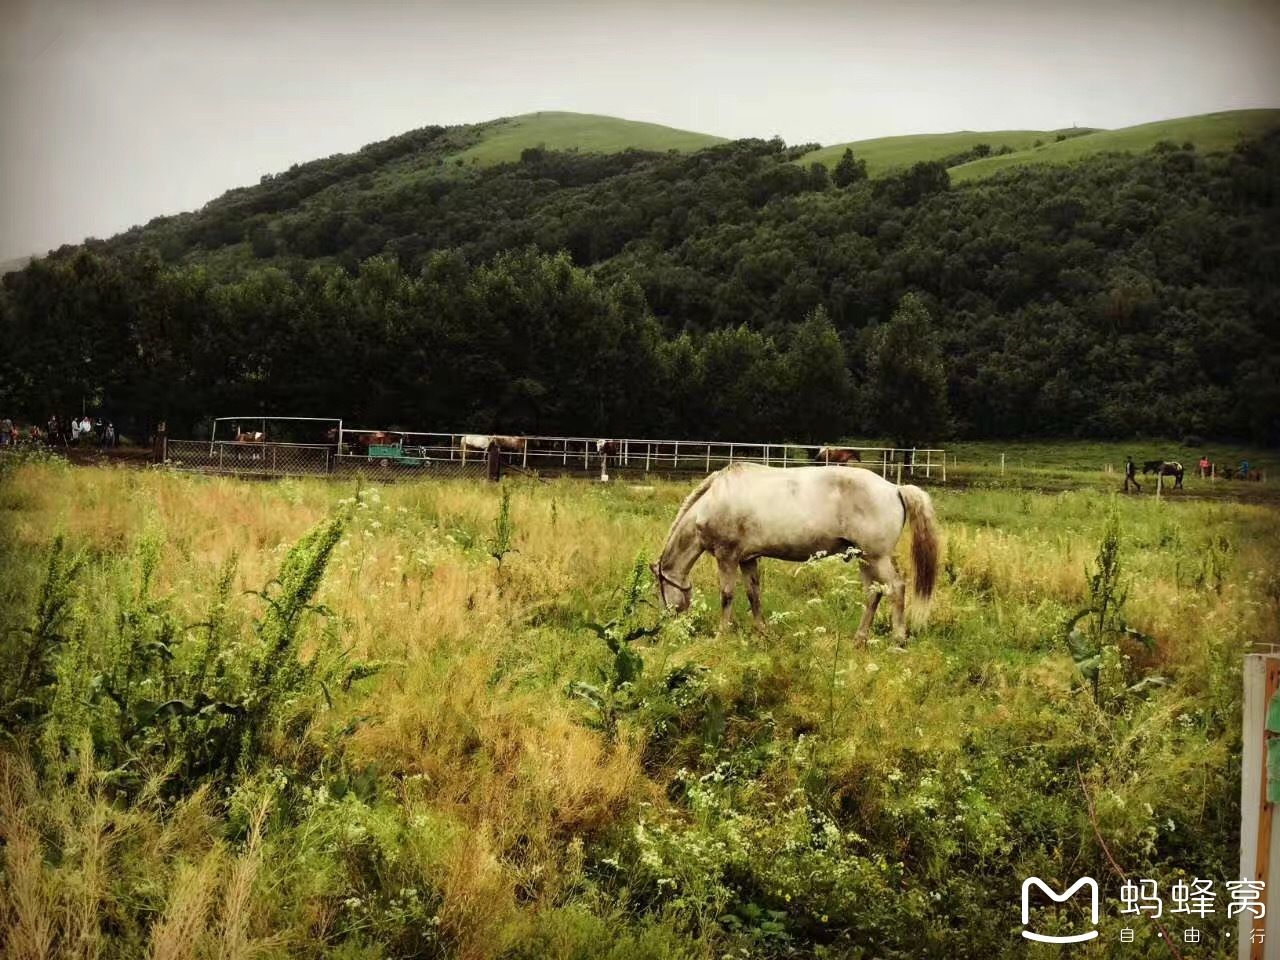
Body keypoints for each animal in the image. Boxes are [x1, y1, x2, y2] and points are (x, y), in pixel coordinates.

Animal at [650, 463, 942, 642]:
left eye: (659, 590)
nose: (666, 624)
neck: (712, 501)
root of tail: (895, 489)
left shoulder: (727, 557)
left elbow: (727, 596)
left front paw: (721, 634)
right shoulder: (748, 560)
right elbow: (753, 594)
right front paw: (762, 631)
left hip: (876, 558)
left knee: (896, 588)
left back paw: (898, 638)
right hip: (865, 559)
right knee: (873, 593)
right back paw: (859, 639)